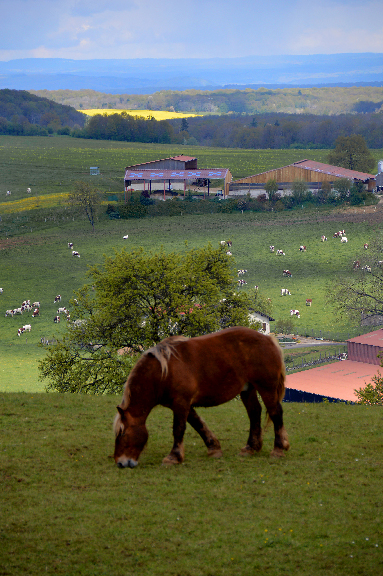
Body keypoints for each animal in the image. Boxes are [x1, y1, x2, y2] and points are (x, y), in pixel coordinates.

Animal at [114, 324, 292, 468]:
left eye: (122, 433)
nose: (120, 463)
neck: (164, 371)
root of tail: (268, 339)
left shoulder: (181, 403)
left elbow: (178, 429)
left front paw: (173, 457)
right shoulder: (183, 404)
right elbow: (198, 424)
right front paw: (214, 448)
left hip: (266, 388)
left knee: (275, 413)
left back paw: (278, 449)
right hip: (248, 390)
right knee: (254, 413)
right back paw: (250, 448)